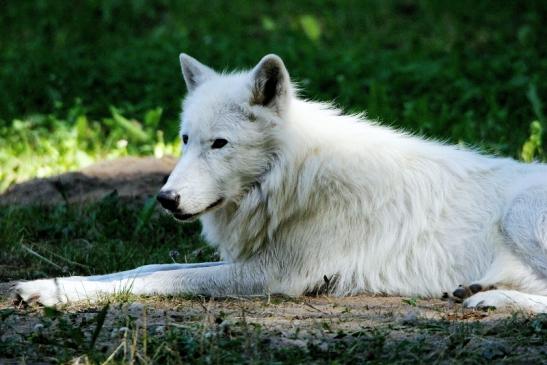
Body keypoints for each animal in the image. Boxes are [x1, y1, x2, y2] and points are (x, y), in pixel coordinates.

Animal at [15, 54, 547, 310]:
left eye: (220, 144)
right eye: (186, 139)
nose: (166, 199)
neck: (295, 179)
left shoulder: (270, 276)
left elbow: (160, 279)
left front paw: (53, 294)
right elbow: (143, 269)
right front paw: (47, 285)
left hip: (518, 216)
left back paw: (490, 298)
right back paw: (475, 288)